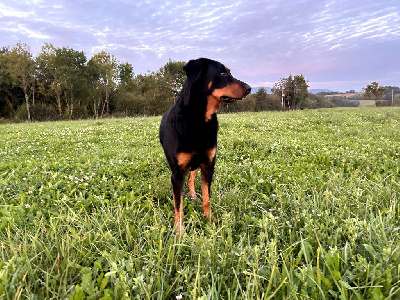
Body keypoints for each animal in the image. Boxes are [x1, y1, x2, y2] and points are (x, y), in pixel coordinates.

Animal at [159, 57, 250, 233]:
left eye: (229, 72)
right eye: (222, 73)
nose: (249, 88)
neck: (200, 121)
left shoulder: (208, 164)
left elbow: (207, 197)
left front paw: (209, 220)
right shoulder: (177, 173)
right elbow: (178, 205)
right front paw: (179, 231)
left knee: (192, 177)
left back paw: (193, 194)